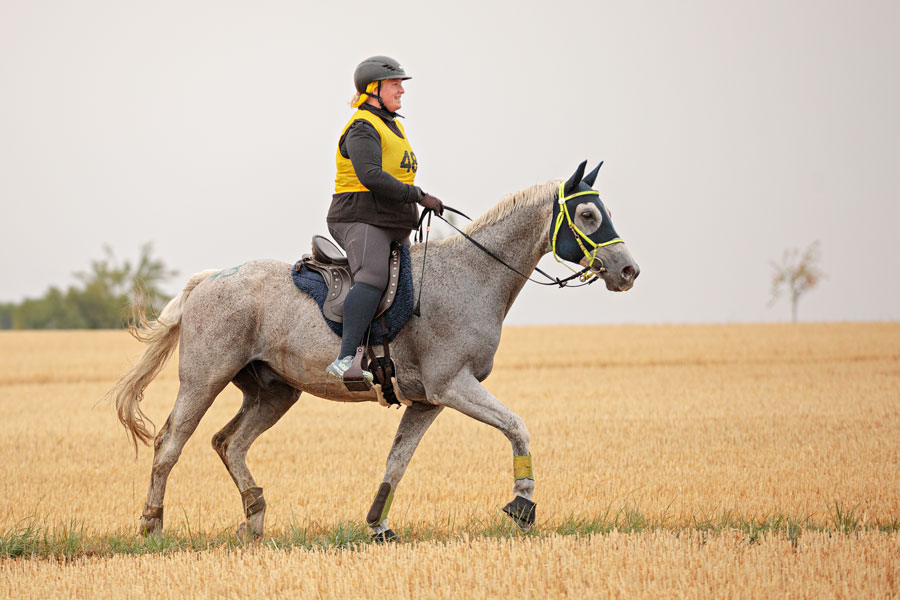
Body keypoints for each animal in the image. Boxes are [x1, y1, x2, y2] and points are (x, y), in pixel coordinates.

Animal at [109, 161, 640, 541]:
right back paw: (153, 524)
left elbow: (396, 462)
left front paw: (378, 525)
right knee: (169, 444)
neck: (473, 275)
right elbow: (517, 426)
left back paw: (254, 518)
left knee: (230, 443)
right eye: (588, 215)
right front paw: (523, 503)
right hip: (205, 380)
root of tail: (206, 280)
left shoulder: (427, 401)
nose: (628, 271)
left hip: (274, 392)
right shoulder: (453, 386)